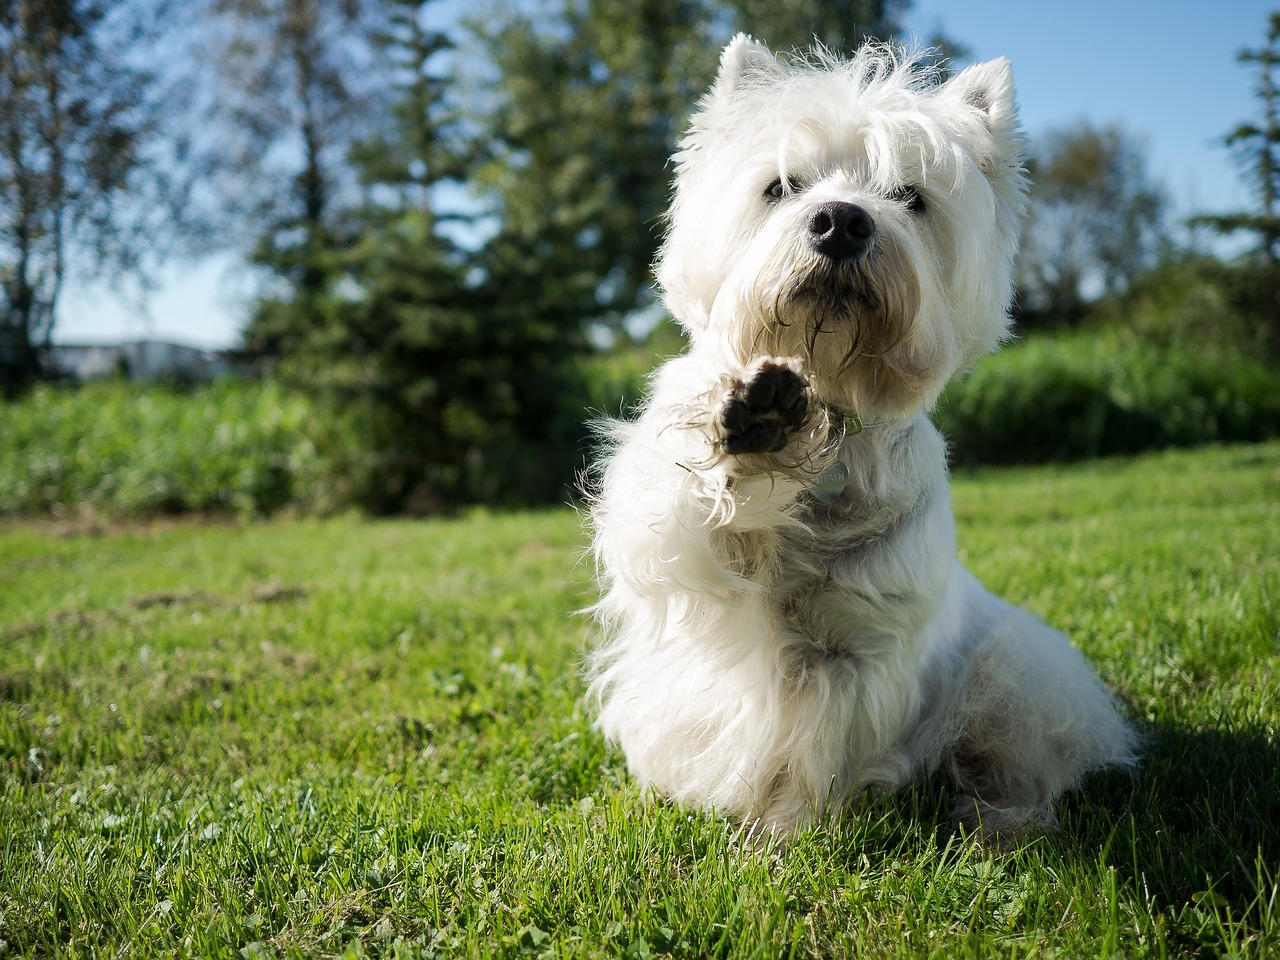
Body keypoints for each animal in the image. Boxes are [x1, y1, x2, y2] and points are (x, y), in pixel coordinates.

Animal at [586, 35, 1136, 839]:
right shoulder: (670, 544)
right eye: (782, 186)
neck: (832, 417)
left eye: (911, 196)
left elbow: (808, 753)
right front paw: (755, 425)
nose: (841, 221)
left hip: (1020, 675)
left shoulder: (850, 649)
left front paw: (783, 833)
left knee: (1027, 760)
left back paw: (995, 822)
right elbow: (687, 510)